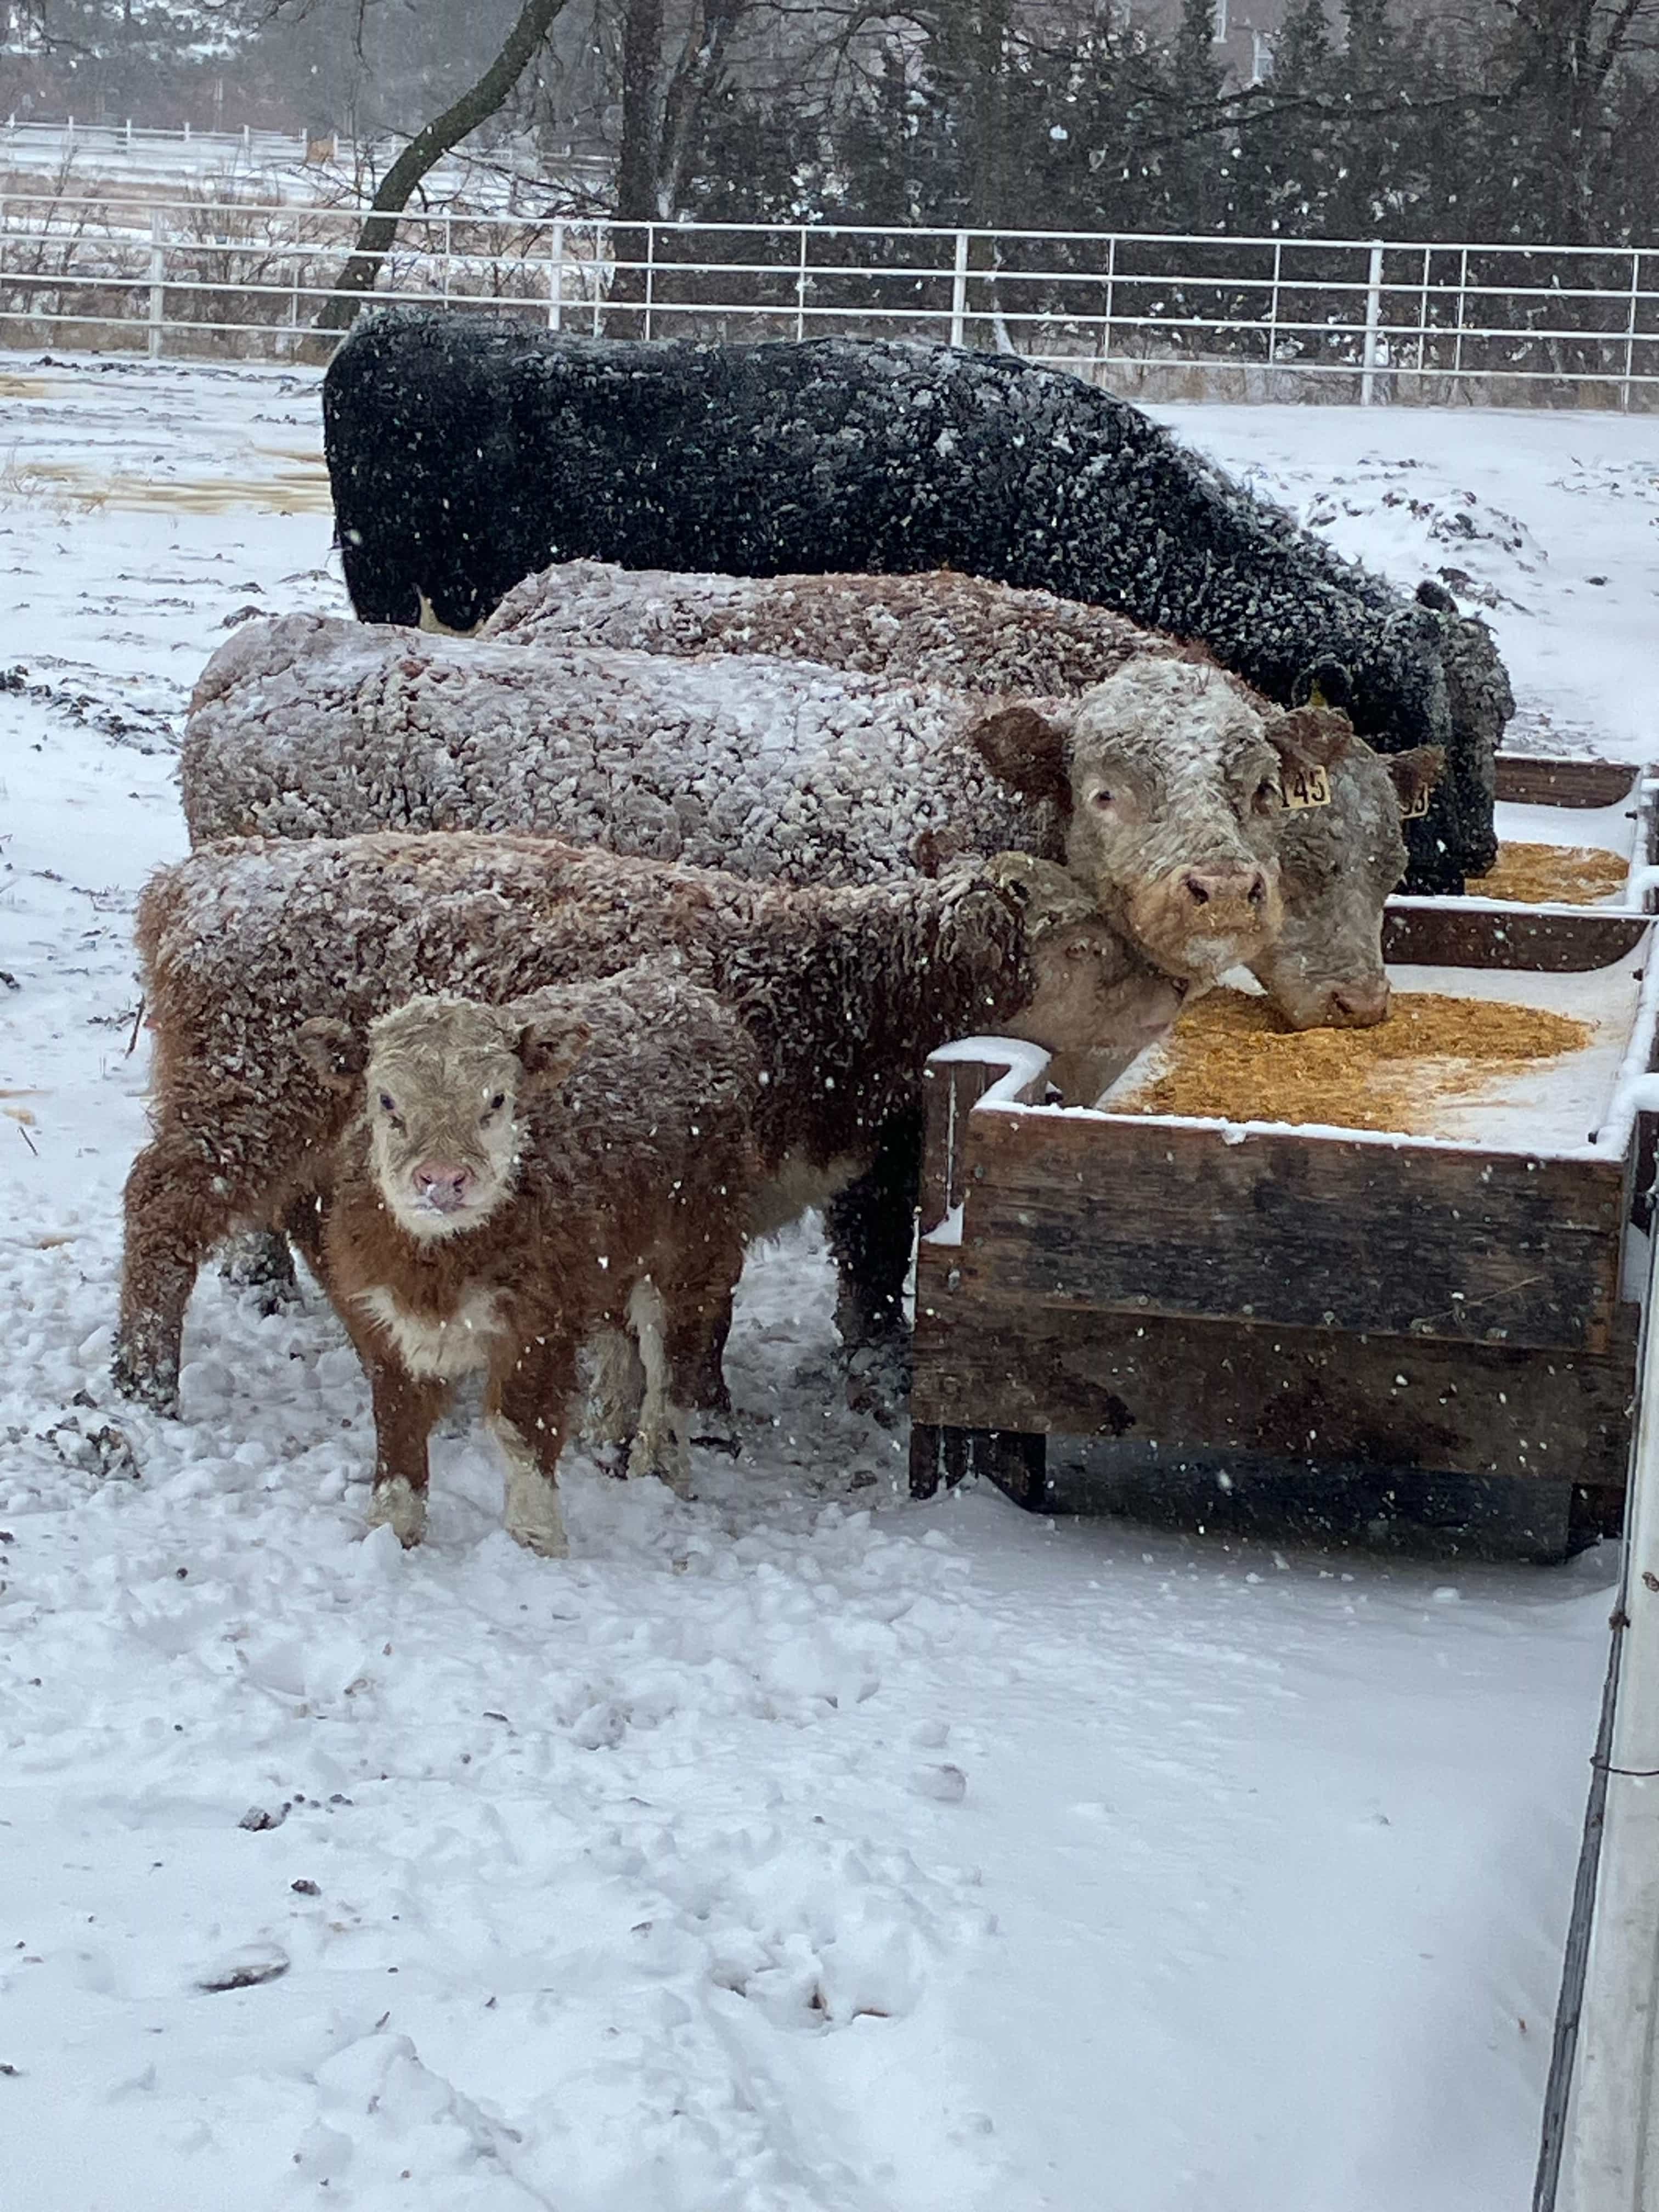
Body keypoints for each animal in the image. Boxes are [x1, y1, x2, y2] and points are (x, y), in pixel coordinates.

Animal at [296, 986, 756, 1557]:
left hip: (693, 1255)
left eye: (496, 1100)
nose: (442, 1179)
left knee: (671, 1365)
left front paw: (534, 1538)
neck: (438, 1273)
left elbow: (520, 1427)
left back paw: (660, 1467)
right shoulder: (384, 1321)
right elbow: (397, 1423)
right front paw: (391, 1528)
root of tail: (678, 990)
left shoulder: (540, 1324)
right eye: (386, 1101)